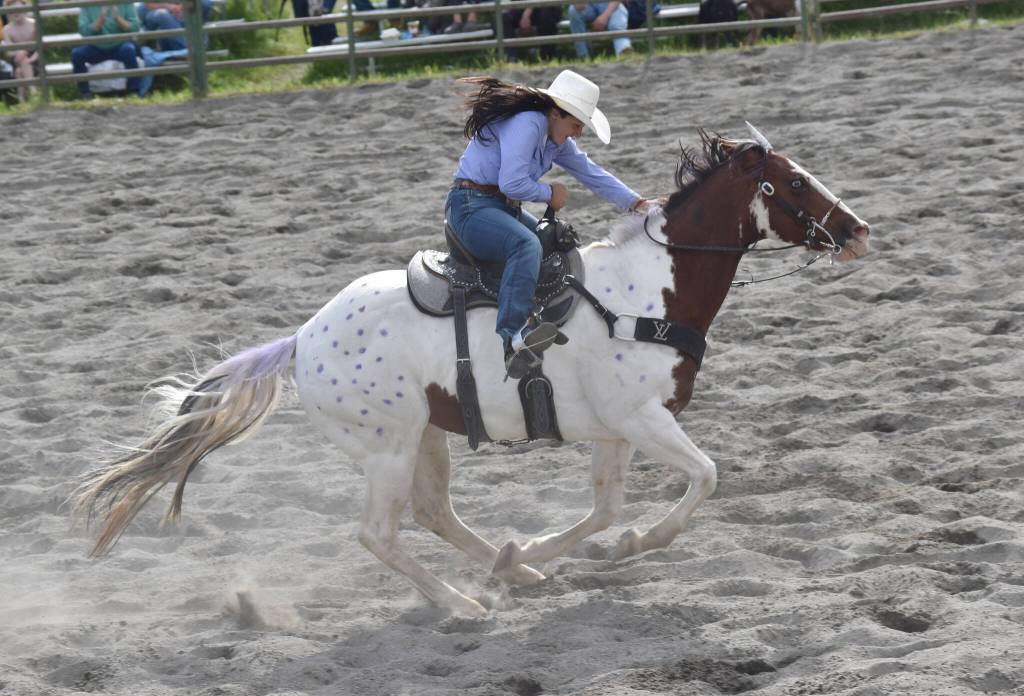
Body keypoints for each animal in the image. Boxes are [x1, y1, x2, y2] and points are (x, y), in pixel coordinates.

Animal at [71, 123, 871, 617]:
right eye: (794, 184)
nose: (859, 230)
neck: (646, 291)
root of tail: (301, 340)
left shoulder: (617, 429)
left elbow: (607, 508)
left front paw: (558, 547)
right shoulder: (642, 419)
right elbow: (704, 477)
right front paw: (633, 546)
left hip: (427, 433)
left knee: (433, 513)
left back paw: (510, 566)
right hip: (387, 449)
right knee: (381, 535)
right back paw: (462, 604)